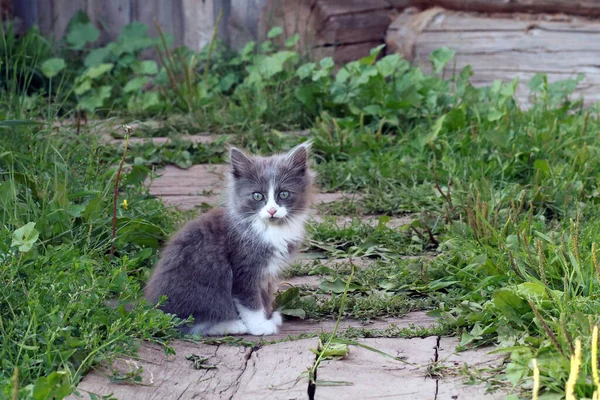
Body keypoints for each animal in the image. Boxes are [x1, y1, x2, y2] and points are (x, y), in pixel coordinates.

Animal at [145, 142, 314, 336]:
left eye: (284, 194)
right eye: (257, 196)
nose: (272, 210)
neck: (270, 230)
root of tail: (153, 308)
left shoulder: (267, 274)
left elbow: (265, 297)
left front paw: (270, 317)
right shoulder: (244, 269)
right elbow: (250, 303)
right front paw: (260, 326)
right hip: (205, 291)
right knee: (191, 323)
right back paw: (233, 325)